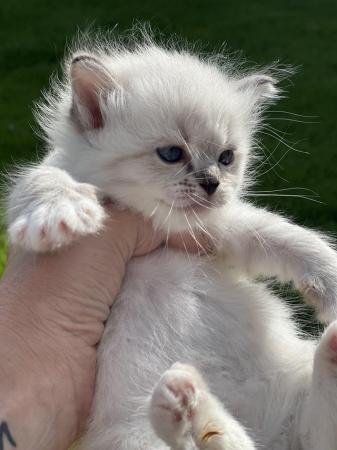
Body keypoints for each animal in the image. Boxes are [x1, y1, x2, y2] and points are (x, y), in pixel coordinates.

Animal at [7, 32, 337, 450]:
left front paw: (331, 284)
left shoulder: (217, 231)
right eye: (171, 154)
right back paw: (182, 401)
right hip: (134, 436)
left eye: (226, 158)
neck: (157, 223)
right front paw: (56, 216)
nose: (212, 183)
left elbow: (284, 236)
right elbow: (41, 180)